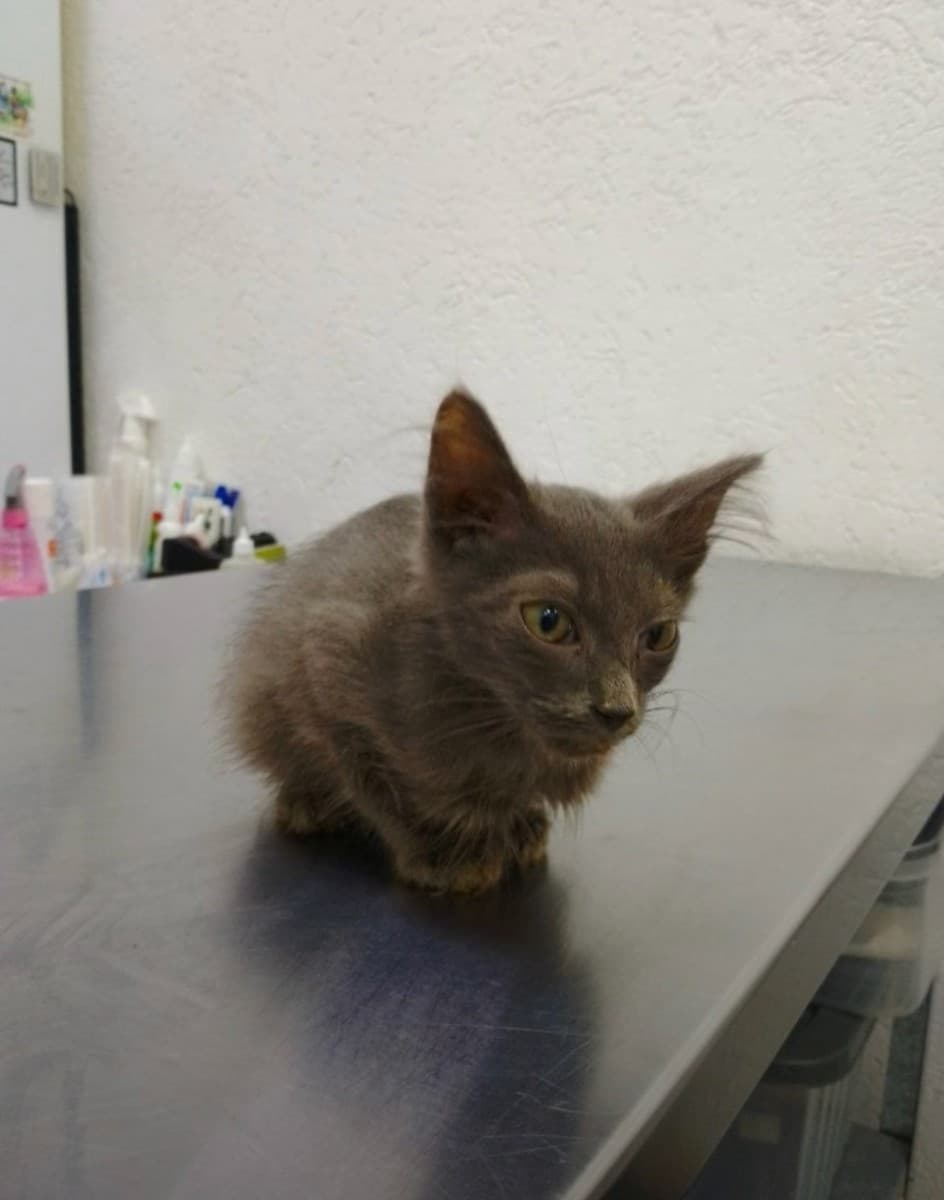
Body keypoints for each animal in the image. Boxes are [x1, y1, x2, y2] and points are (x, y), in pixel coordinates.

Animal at [228, 390, 761, 893]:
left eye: (658, 635)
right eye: (548, 621)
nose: (617, 709)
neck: (498, 724)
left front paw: (521, 826)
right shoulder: (326, 664)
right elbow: (376, 786)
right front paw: (444, 855)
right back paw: (307, 803)